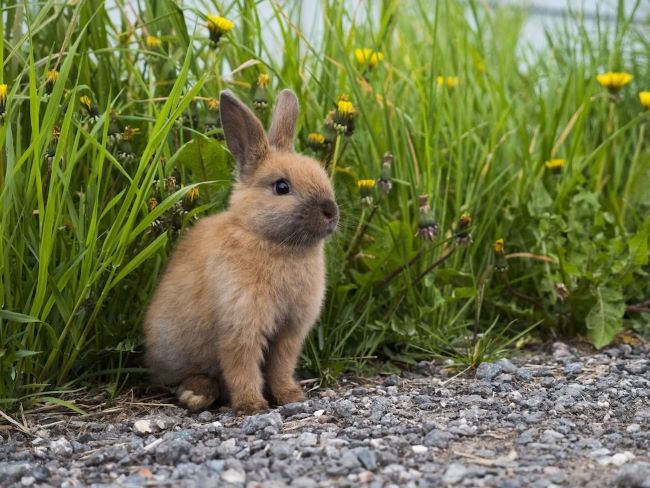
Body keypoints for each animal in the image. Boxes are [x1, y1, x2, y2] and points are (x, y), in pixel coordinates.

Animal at [143, 88, 340, 416]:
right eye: (282, 186)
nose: (330, 211)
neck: (271, 240)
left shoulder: (289, 332)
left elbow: (280, 366)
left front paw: (291, 396)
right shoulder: (240, 325)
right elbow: (242, 367)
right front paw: (252, 405)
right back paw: (196, 395)